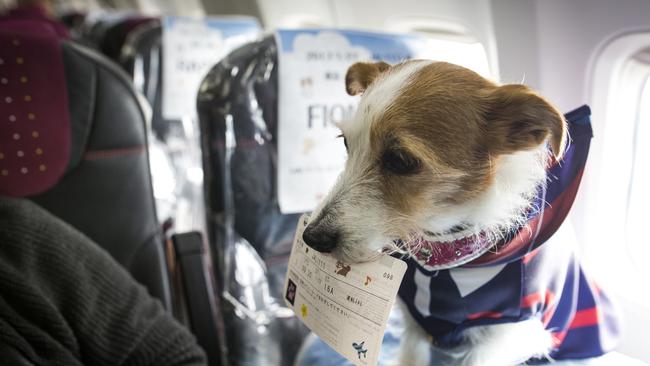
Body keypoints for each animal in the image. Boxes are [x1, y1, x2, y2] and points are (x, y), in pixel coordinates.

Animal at [302, 60, 616, 366]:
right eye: (345, 142)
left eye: (400, 160)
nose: (311, 237)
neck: (448, 257)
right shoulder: (416, 327)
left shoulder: (498, 338)